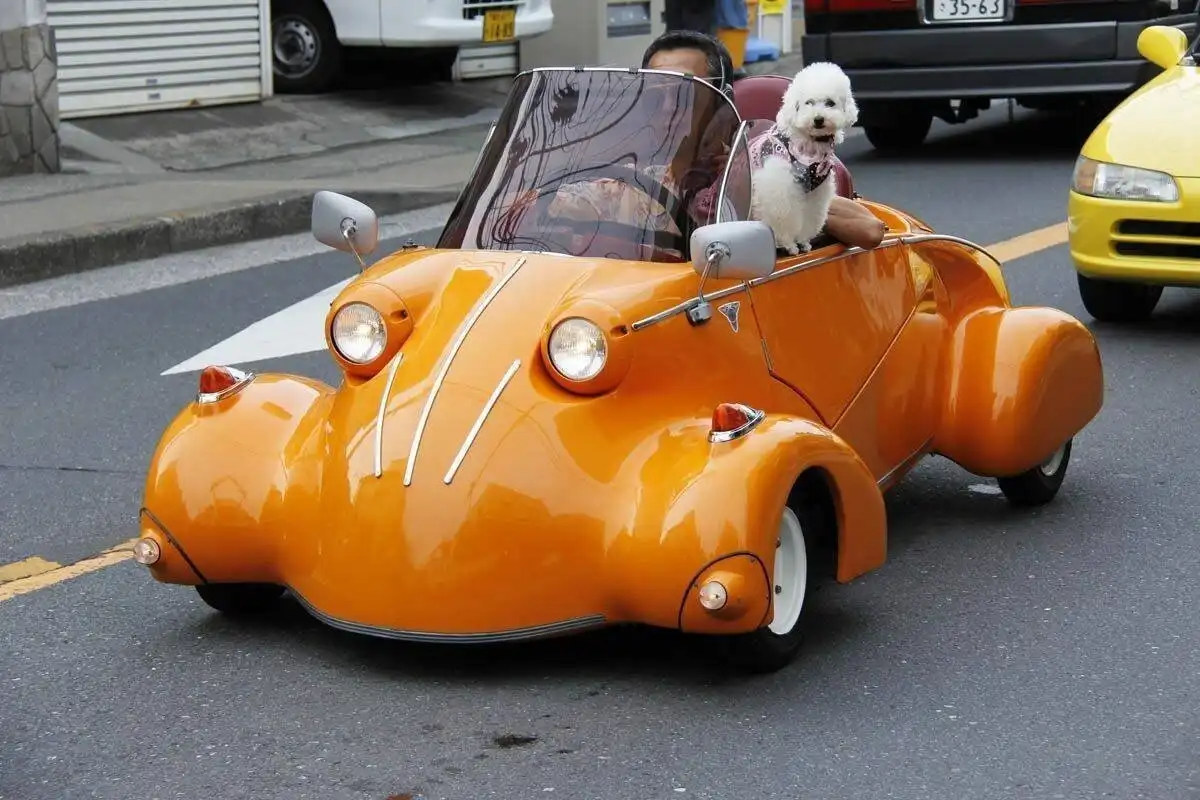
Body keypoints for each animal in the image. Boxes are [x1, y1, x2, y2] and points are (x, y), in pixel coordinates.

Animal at [748, 62, 858, 255]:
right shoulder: (779, 189)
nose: (818, 119)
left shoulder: (815, 191)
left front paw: (803, 241)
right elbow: (783, 216)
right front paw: (789, 244)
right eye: (809, 102)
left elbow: (810, 216)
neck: (809, 142)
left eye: (830, 103)